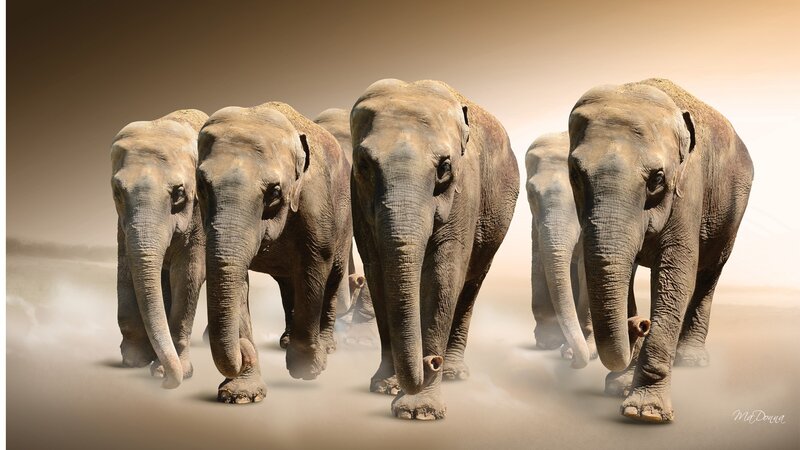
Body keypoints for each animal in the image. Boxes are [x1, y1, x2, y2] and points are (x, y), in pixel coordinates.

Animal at [110, 109, 208, 389]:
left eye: (179, 193)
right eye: (117, 192)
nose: (164, 383)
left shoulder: (199, 214)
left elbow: (188, 274)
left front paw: (171, 372)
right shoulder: (122, 223)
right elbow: (126, 268)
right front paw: (134, 361)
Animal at [197, 101, 352, 403]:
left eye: (275, 192)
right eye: (202, 184)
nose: (244, 349)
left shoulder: (315, 200)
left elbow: (315, 264)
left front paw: (307, 369)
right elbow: (237, 278)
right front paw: (241, 395)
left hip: (345, 217)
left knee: (333, 277)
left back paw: (326, 346)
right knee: (287, 284)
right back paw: (285, 341)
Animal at [350, 79, 519, 420]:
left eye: (444, 166)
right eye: (364, 166)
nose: (431, 362)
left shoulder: (465, 190)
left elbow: (443, 276)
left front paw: (419, 412)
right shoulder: (355, 197)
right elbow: (376, 273)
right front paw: (386, 387)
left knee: (471, 284)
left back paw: (454, 372)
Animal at [568, 78, 753, 422]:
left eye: (657, 178)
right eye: (574, 173)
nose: (641, 323)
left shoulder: (689, 188)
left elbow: (676, 276)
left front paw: (645, 413)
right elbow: (618, 273)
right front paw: (619, 387)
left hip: (732, 212)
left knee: (709, 274)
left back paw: (691, 360)